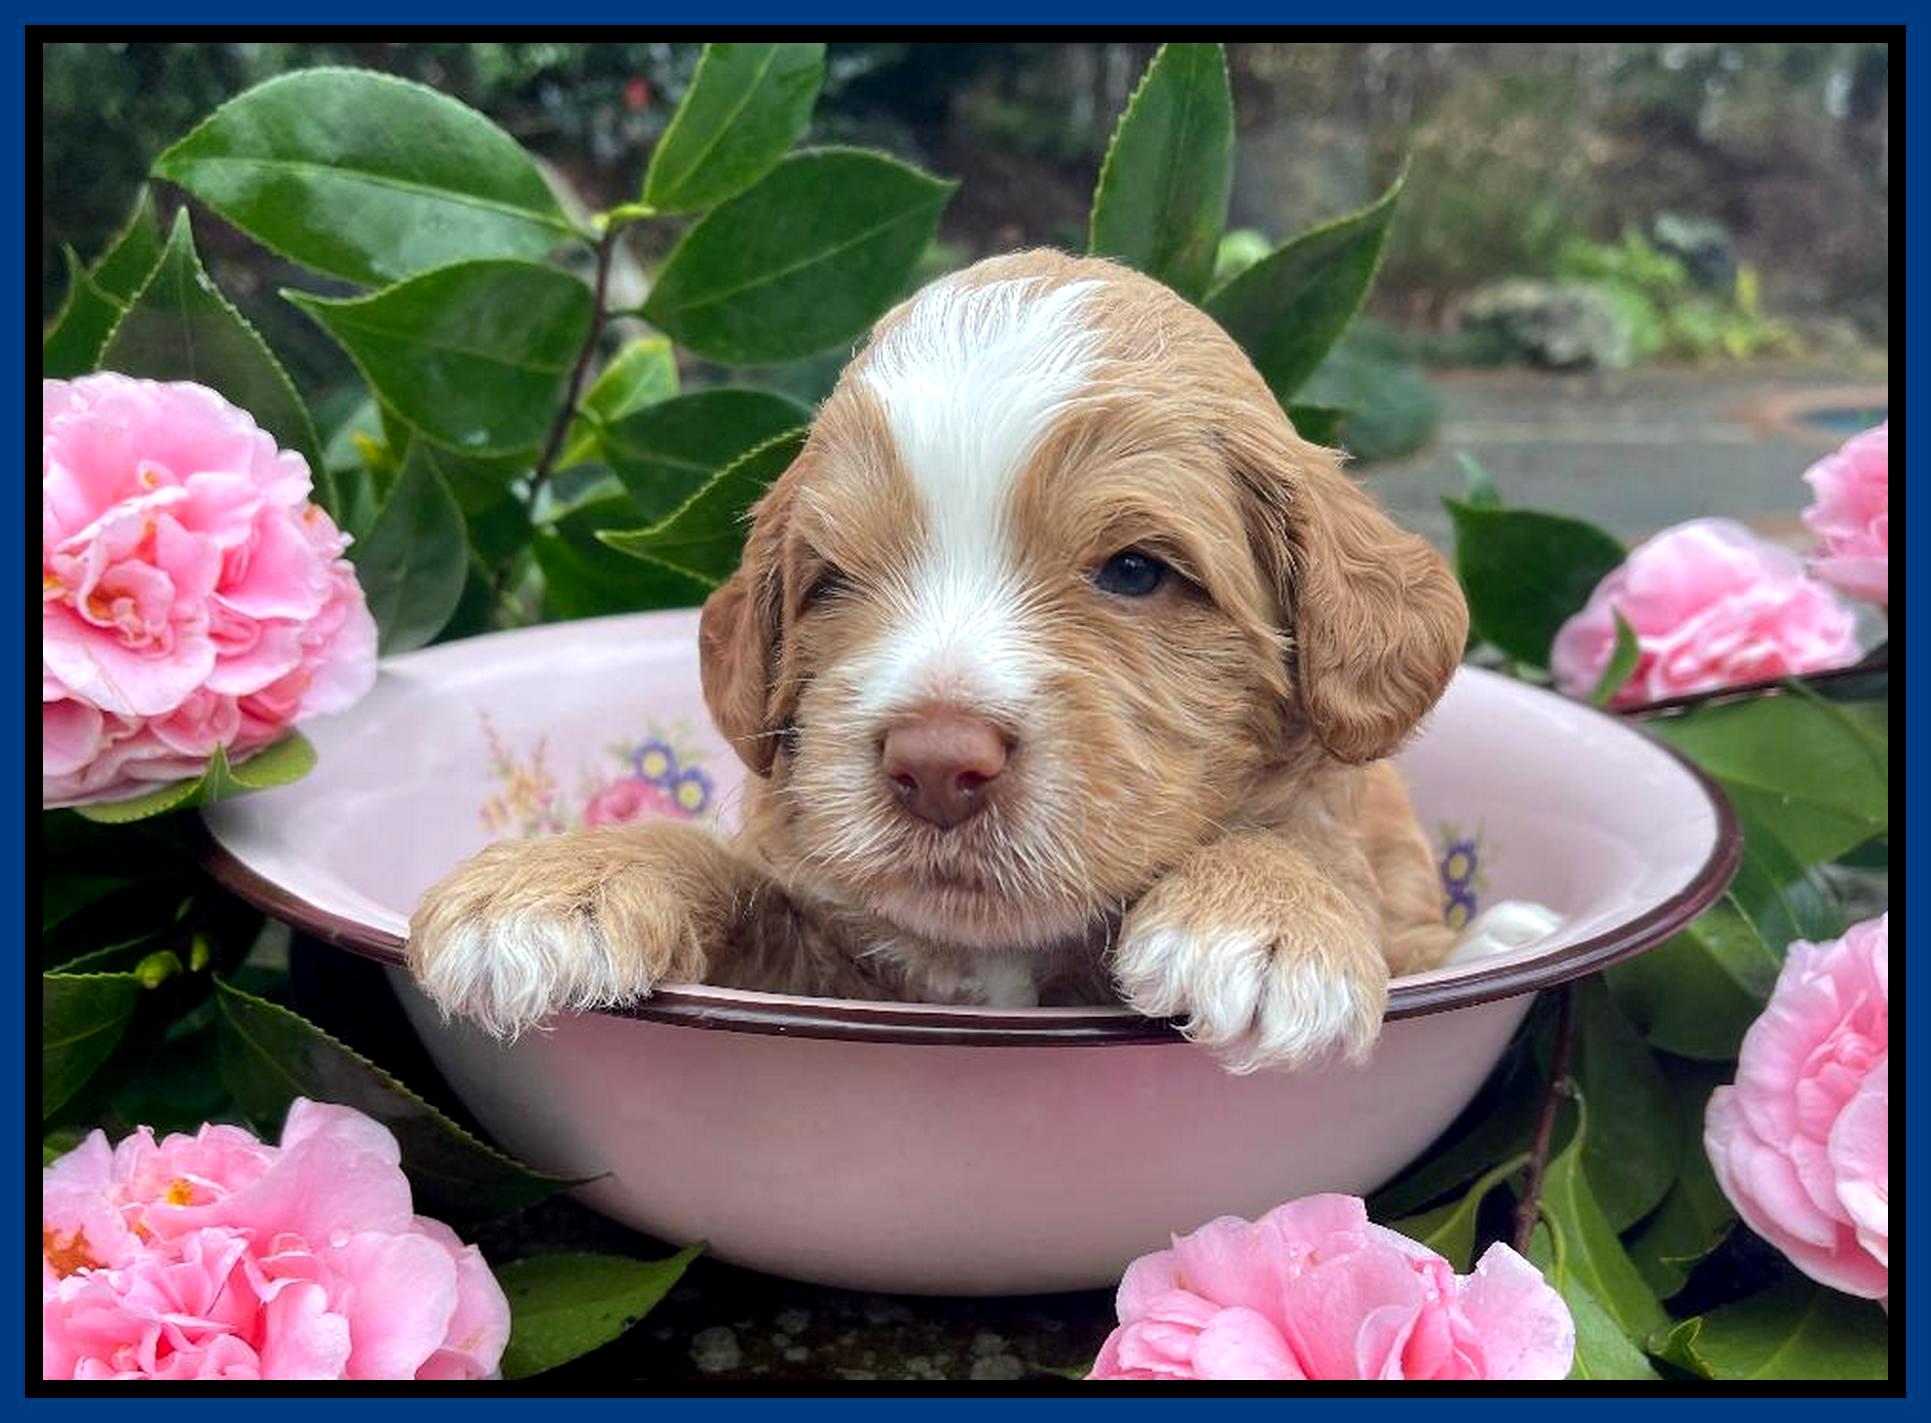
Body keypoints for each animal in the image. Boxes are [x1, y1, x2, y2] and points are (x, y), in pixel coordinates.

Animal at [408, 249, 1470, 1073]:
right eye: (832, 583)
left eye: (1135, 570)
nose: (934, 762)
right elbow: (717, 861)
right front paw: (554, 885)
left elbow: (1304, 830)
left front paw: (1267, 913)